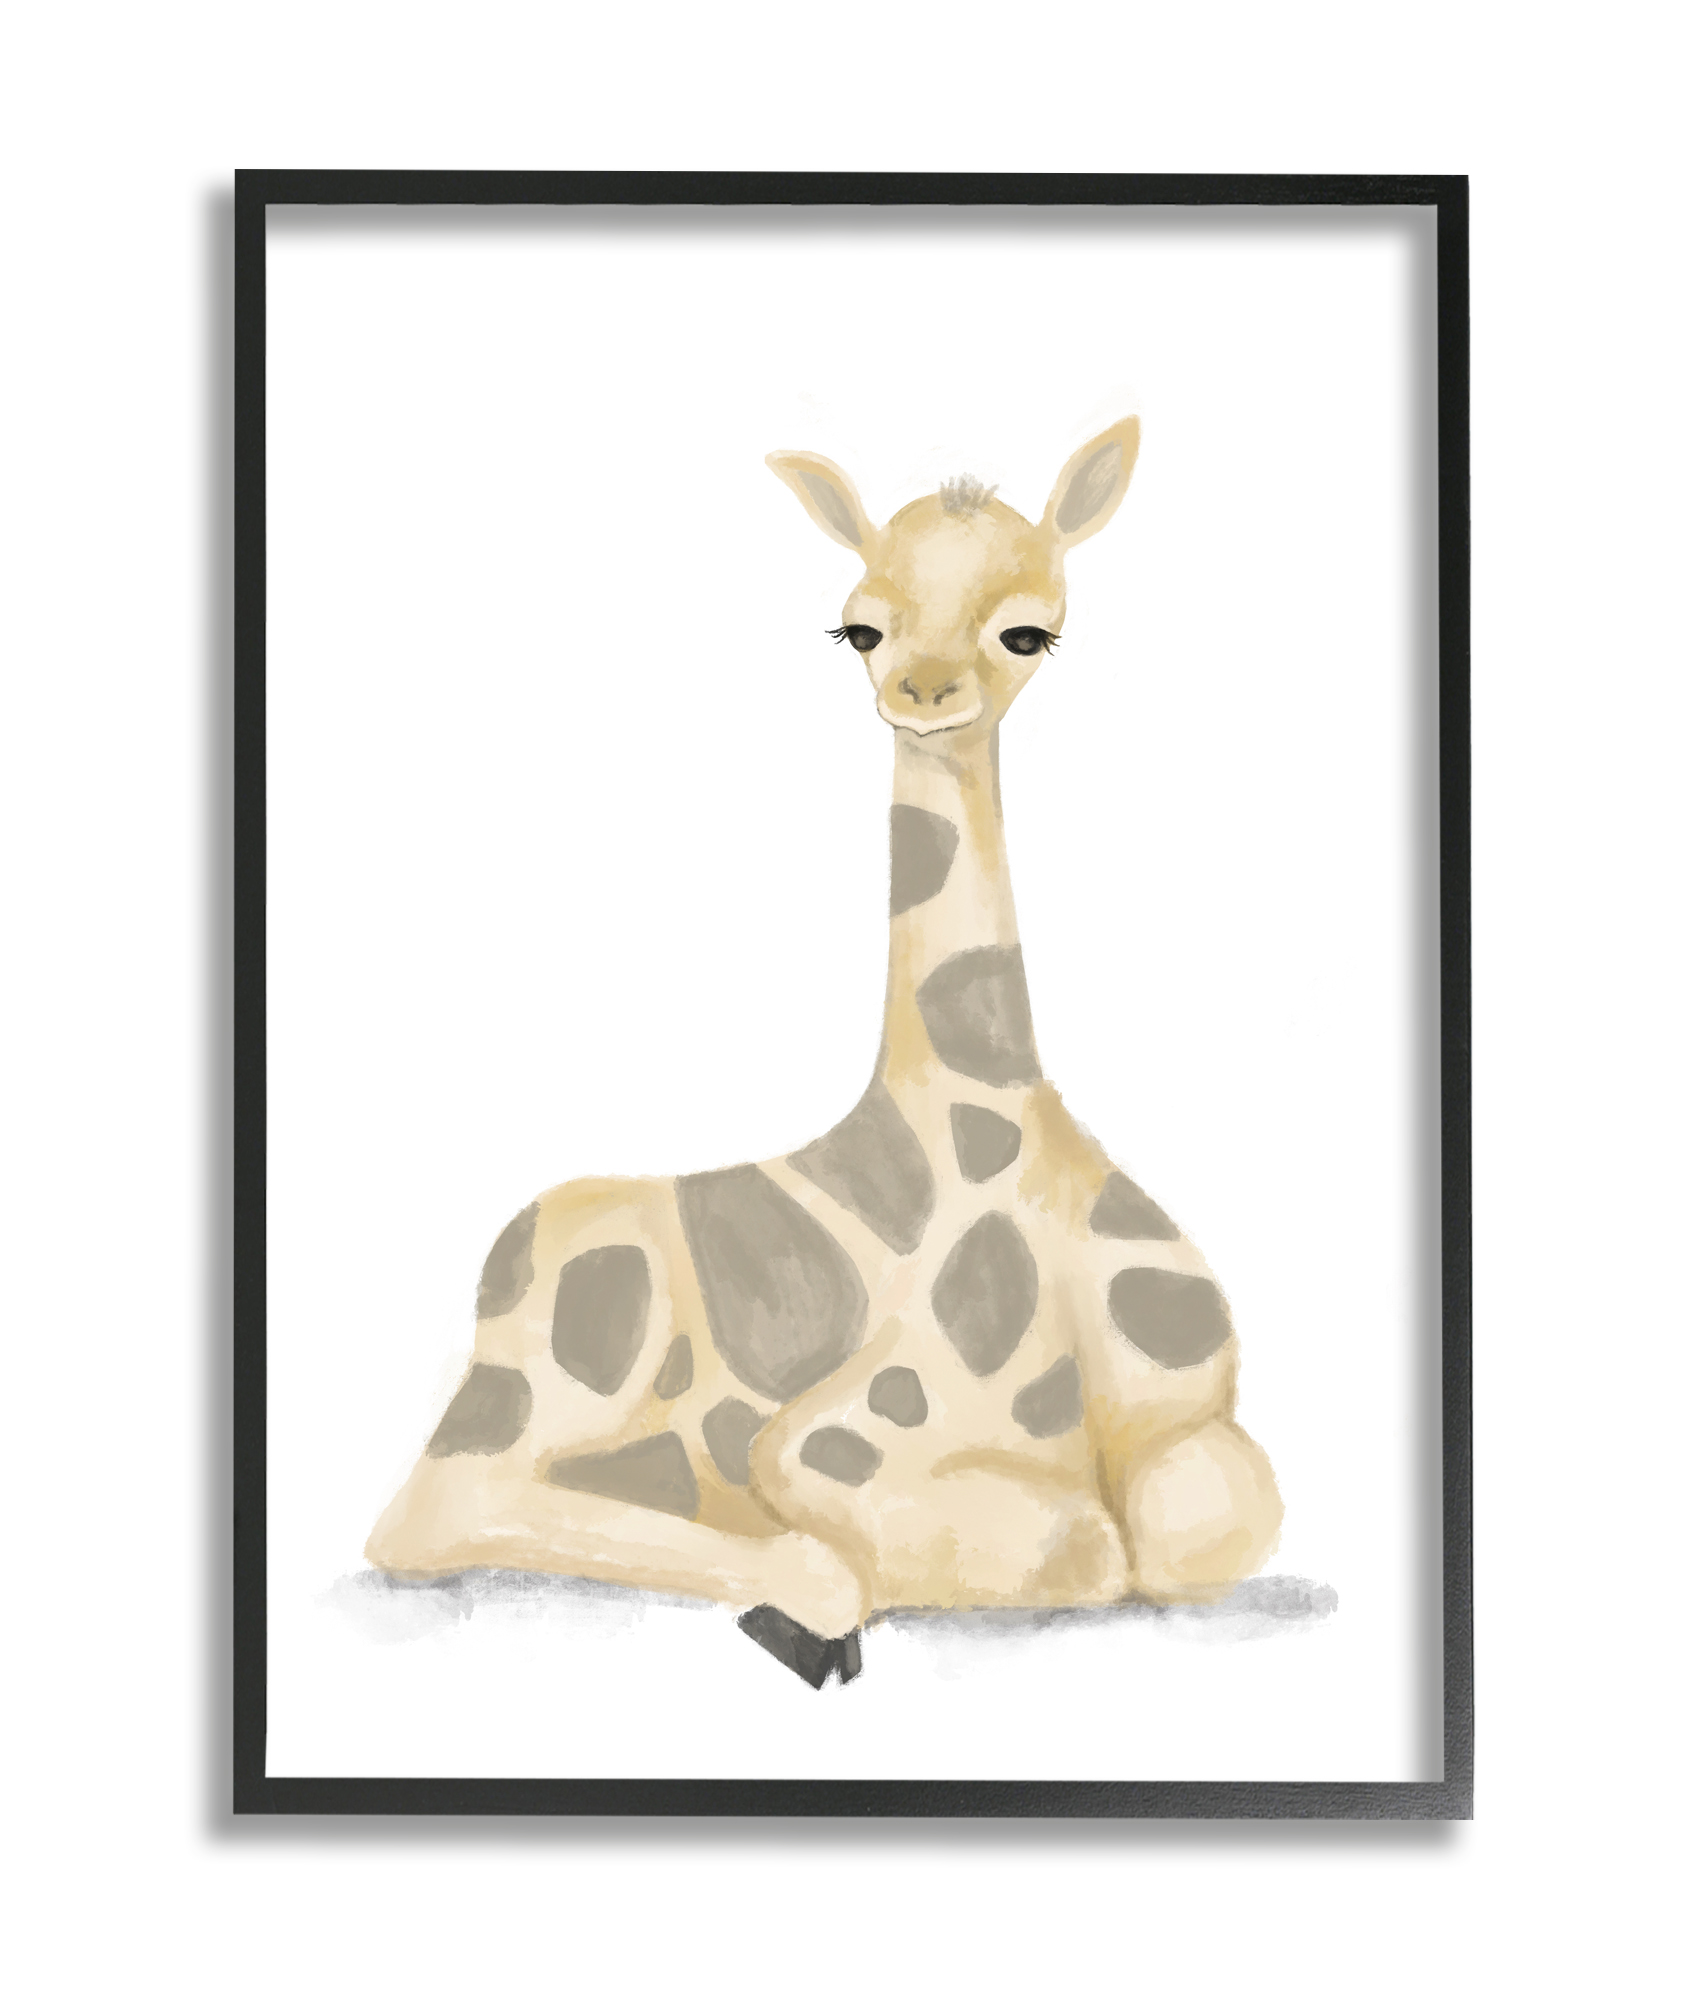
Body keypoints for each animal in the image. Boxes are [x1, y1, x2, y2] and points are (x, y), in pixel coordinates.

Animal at [365, 417, 1283, 1687]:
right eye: (861, 625)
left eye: (1027, 628)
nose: (921, 691)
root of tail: (500, 1266)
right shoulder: (828, 1441)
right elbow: (1077, 1542)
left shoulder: (1203, 1420)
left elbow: (1206, 1519)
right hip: (540, 1391)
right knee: (430, 1510)